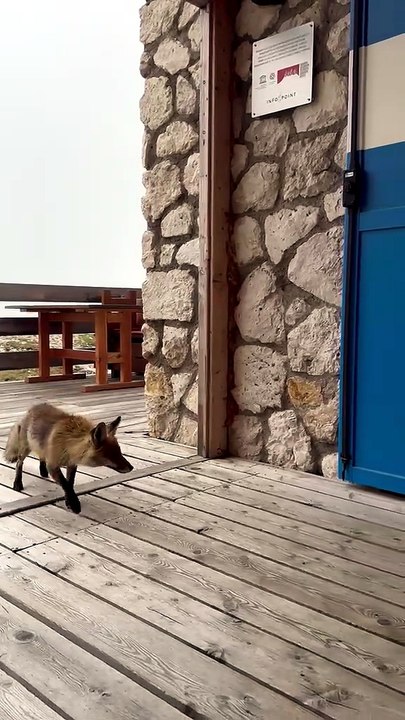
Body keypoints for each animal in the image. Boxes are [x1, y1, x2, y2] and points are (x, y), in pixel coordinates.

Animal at [4, 402, 133, 514]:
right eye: (113, 456)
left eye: (120, 453)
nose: (131, 468)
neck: (68, 445)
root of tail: (33, 407)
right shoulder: (53, 465)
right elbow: (65, 484)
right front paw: (74, 504)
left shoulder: (71, 464)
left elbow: (70, 483)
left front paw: (69, 501)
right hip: (25, 449)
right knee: (19, 463)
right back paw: (17, 482)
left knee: (41, 455)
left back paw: (43, 471)